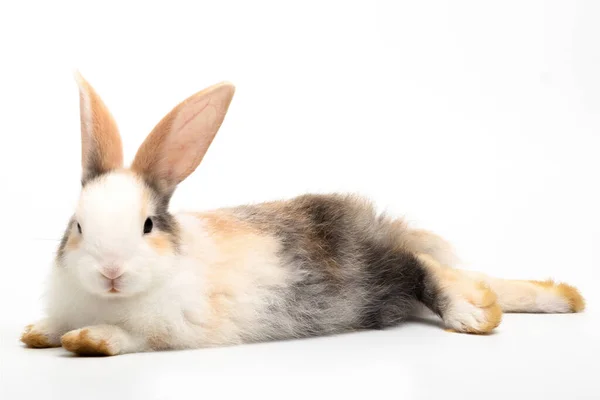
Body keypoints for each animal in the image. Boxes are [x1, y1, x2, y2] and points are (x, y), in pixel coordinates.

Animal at [21, 72, 584, 356]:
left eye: (147, 225)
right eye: (77, 226)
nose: (111, 272)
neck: (110, 300)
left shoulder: (169, 327)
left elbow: (127, 338)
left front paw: (89, 339)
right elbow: (55, 324)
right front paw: (36, 333)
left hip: (377, 267)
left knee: (425, 269)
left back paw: (475, 314)